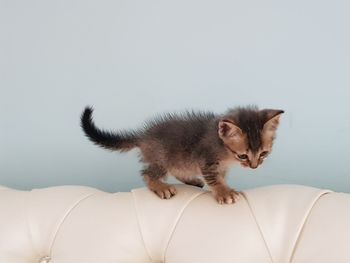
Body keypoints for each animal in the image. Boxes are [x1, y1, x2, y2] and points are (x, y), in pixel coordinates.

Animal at [80, 106, 284, 205]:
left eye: (263, 153)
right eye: (243, 156)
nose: (254, 166)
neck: (222, 147)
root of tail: (144, 136)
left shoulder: (219, 166)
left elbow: (220, 177)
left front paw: (224, 187)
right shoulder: (206, 160)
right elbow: (215, 180)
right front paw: (224, 192)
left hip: (179, 159)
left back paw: (191, 180)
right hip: (162, 159)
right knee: (147, 174)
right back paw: (161, 187)